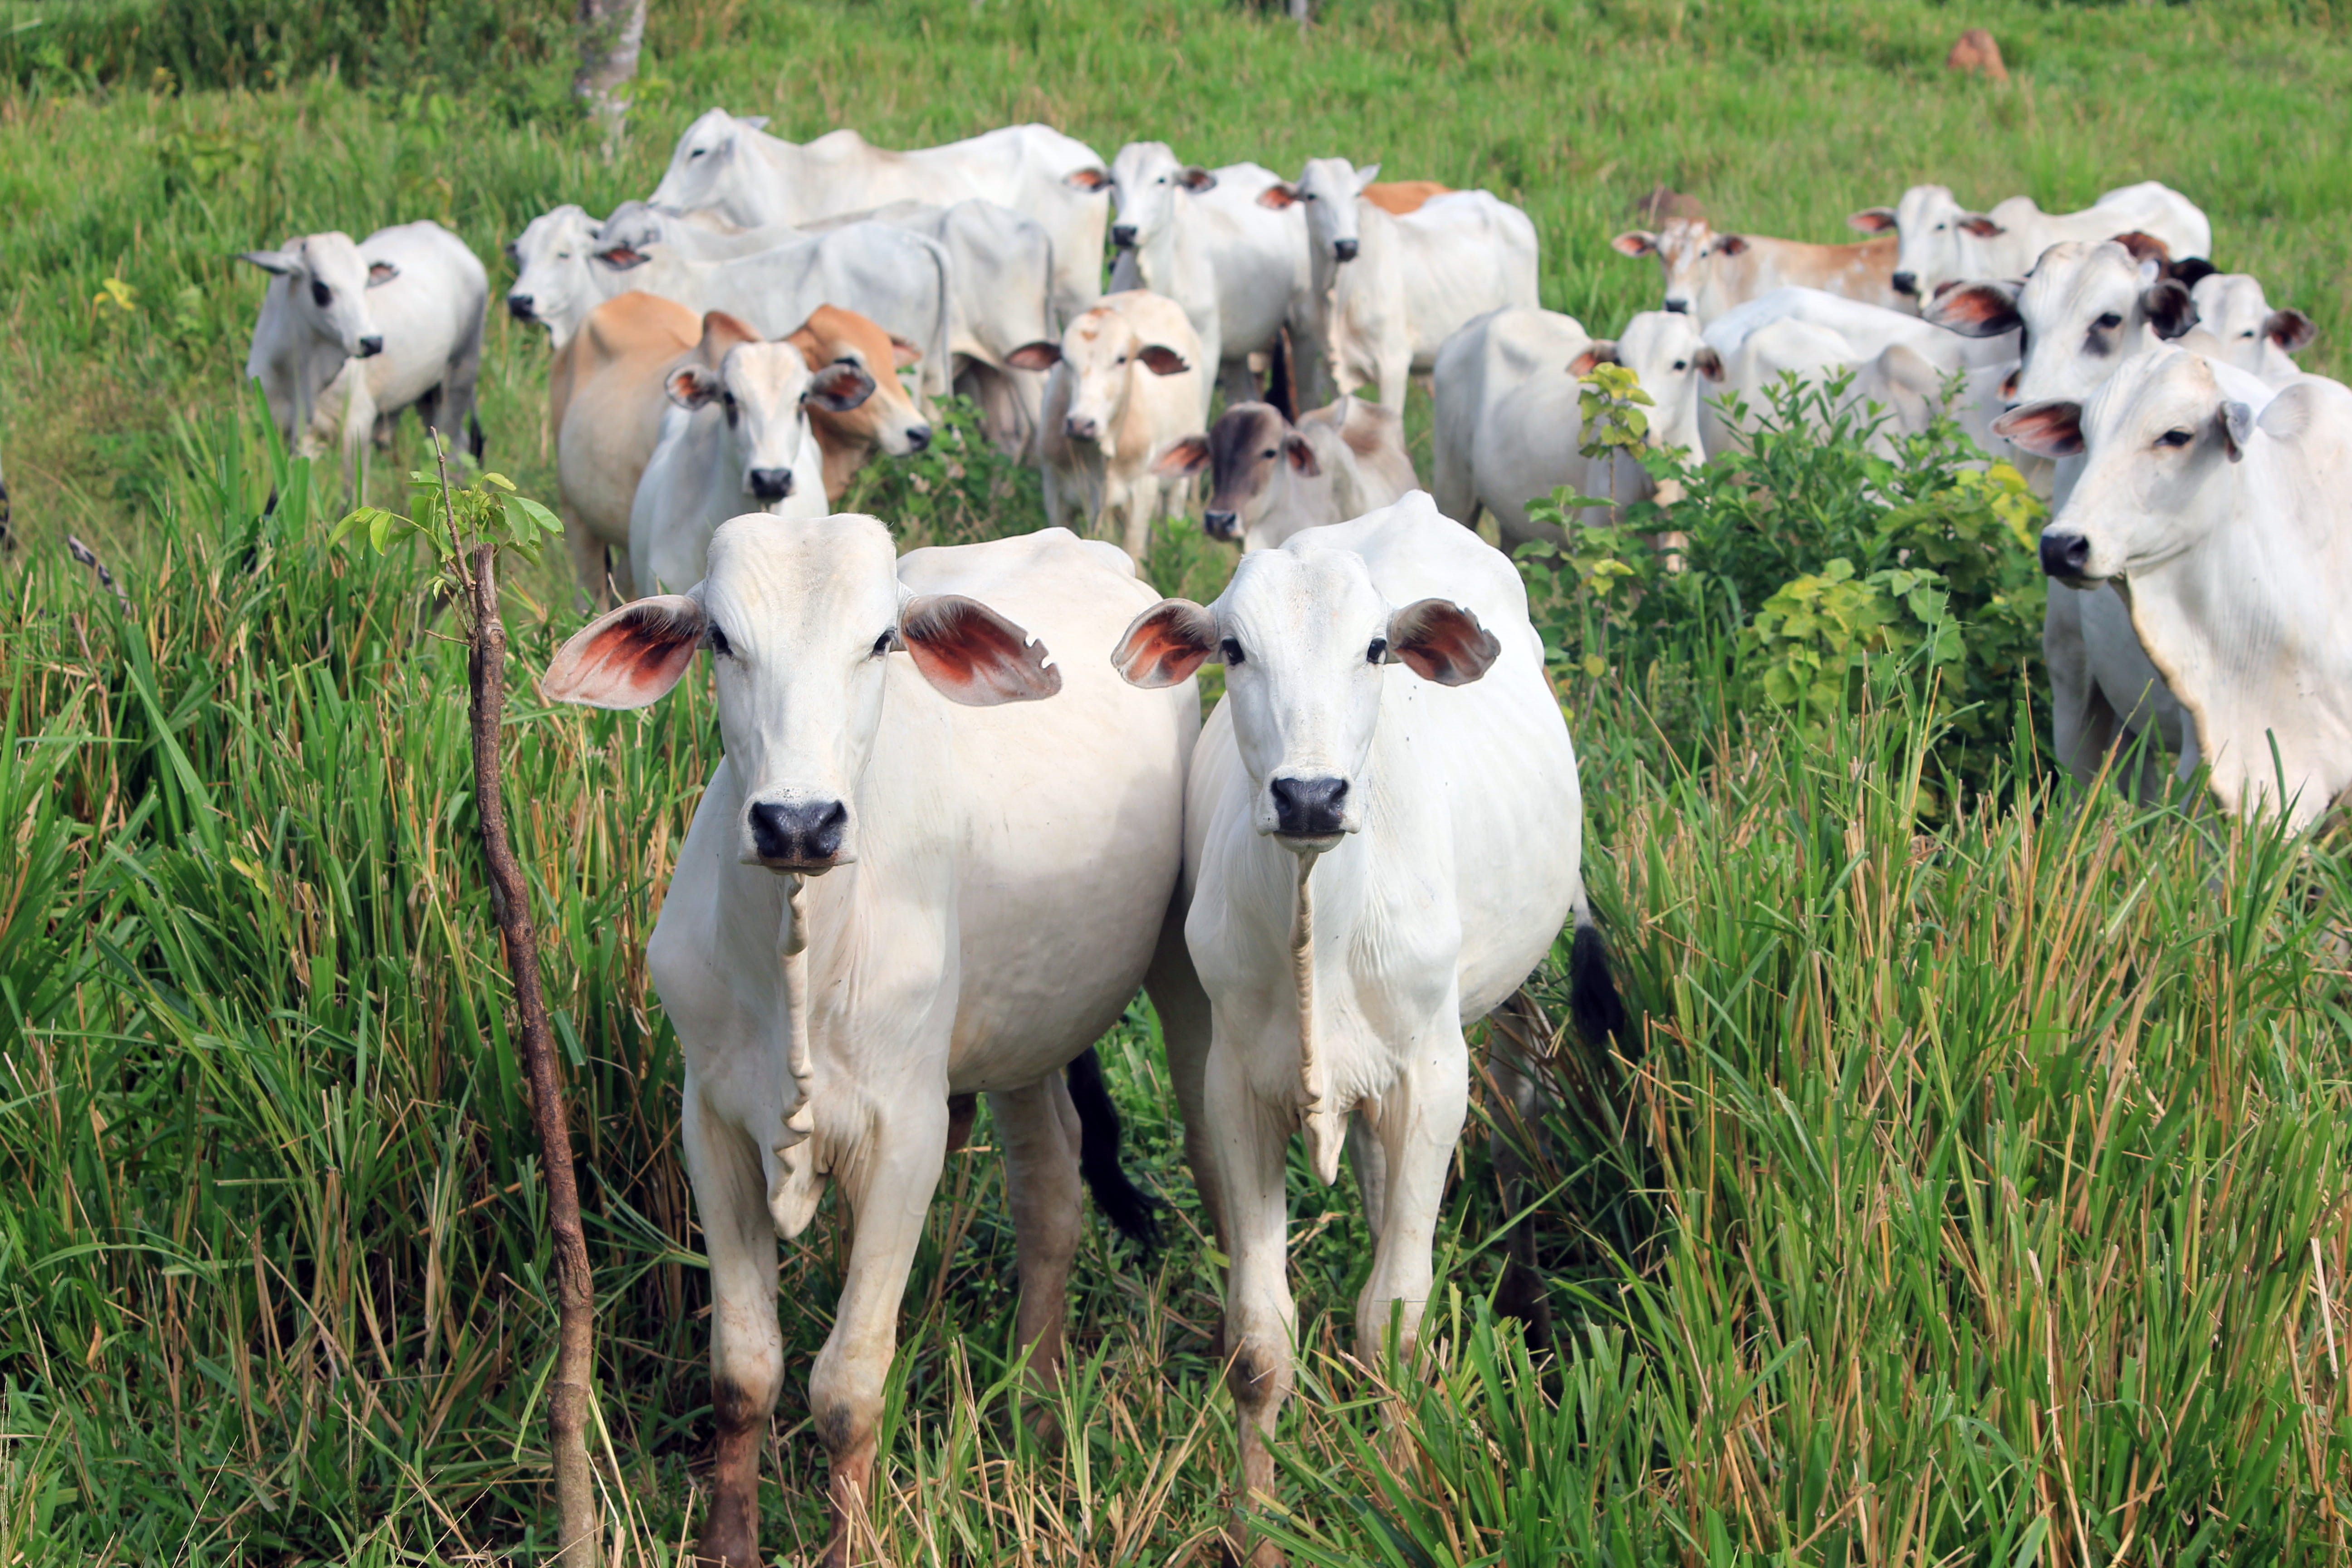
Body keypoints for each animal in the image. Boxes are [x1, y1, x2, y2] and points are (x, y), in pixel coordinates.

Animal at [238, 221, 487, 480]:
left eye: (365, 285)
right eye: (321, 287)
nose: (373, 343)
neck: (298, 367)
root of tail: (440, 233)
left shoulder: (357, 426)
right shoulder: (285, 429)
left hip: (459, 377)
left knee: (457, 448)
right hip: (428, 396)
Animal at [540, 514, 1197, 1568]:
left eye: (883, 640)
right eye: (720, 640)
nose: (797, 821)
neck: (803, 955)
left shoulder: (906, 1135)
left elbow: (847, 1389)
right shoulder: (711, 1124)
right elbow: (744, 1373)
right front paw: (729, 1543)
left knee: (1049, 1197)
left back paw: (1037, 1406)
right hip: (1019, 1032)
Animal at [1008, 290, 1204, 559]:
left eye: (1122, 359)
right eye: (1065, 360)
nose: (1081, 424)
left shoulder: (1142, 493)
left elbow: (1134, 550)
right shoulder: (1055, 492)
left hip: (1181, 475)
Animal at [1109, 491, 1619, 1567]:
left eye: (1377, 647)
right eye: (1232, 649)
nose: (1309, 795)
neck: (1320, 920)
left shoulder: (1431, 1083)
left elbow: (1394, 1323)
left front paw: (1396, 1497)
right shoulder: (1235, 1092)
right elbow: (1258, 1342)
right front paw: (1257, 1528)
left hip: (1502, 1003)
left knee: (1515, 1116)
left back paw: (1526, 1300)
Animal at [1260, 159, 1540, 412]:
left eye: (1356, 194)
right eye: (1311, 196)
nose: (1347, 247)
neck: (1340, 293)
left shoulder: (1393, 365)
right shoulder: (1333, 368)